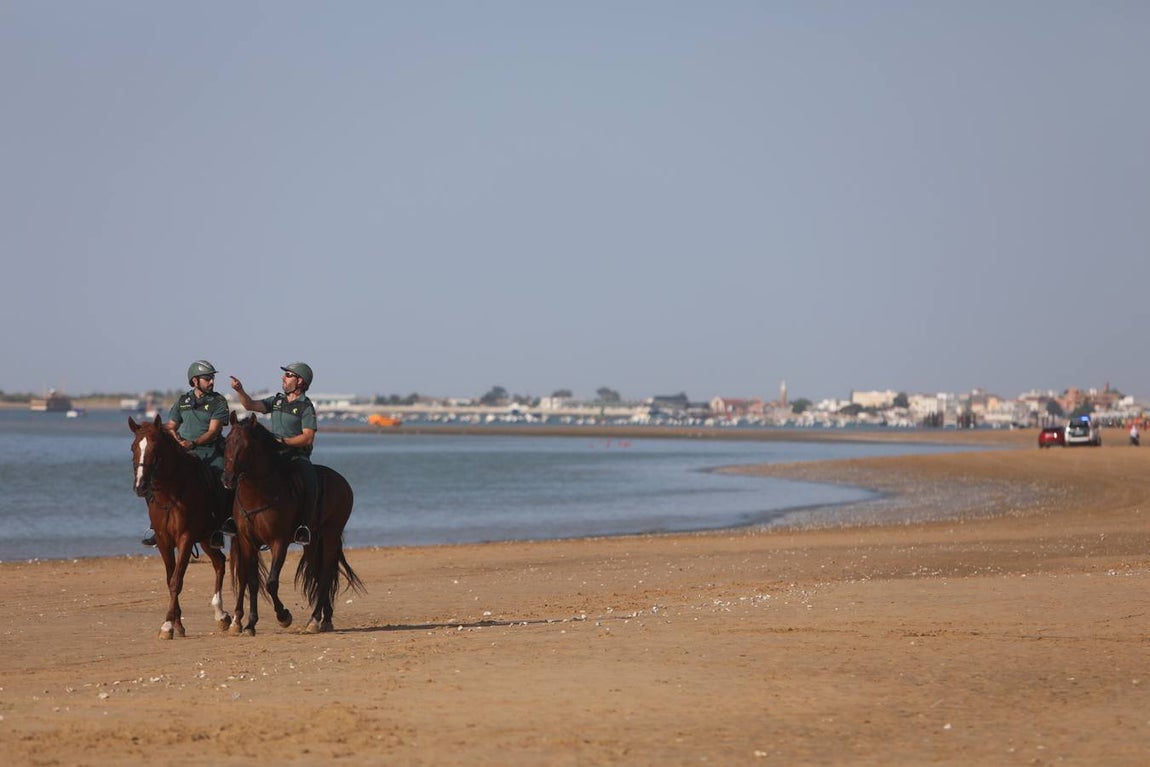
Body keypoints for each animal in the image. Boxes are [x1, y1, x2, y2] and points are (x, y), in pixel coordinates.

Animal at [129, 414, 232, 639]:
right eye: (133, 447)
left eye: (155, 448)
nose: (140, 486)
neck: (171, 494)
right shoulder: (163, 540)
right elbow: (170, 579)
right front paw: (176, 623)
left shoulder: (185, 538)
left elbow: (177, 580)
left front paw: (167, 625)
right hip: (206, 539)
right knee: (219, 563)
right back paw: (221, 615)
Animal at [221, 412, 364, 635]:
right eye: (227, 442)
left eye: (246, 446)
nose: (228, 479)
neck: (259, 494)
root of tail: (342, 481)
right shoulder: (247, 541)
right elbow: (253, 582)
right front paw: (250, 624)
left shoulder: (279, 542)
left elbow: (271, 583)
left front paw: (283, 616)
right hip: (313, 542)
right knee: (317, 573)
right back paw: (325, 619)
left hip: (331, 535)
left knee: (325, 575)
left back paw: (314, 620)